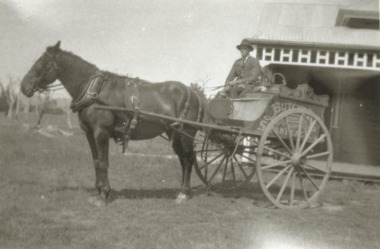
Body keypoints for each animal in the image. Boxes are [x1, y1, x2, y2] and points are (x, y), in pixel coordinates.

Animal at [20, 40, 205, 206]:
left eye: (41, 63)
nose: (23, 86)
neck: (94, 91)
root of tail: (193, 92)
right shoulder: (90, 133)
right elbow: (97, 161)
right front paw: (98, 191)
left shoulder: (101, 132)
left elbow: (103, 163)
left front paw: (104, 195)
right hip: (175, 133)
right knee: (182, 159)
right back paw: (181, 191)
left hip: (187, 134)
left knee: (188, 159)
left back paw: (184, 194)